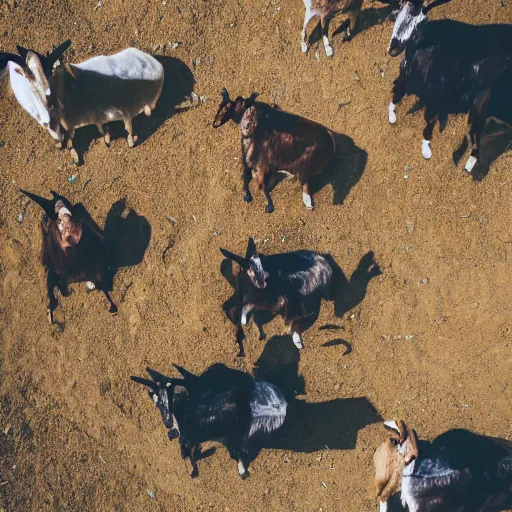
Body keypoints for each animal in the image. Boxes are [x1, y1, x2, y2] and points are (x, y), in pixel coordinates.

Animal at [388, 0, 512, 174]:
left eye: (421, 22)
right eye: (396, 14)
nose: (394, 48)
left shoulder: (437, 95)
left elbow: (429, 121)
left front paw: (426, 151)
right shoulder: (406, 79)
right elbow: (396, 96)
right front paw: (392, 117)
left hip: (483, 100)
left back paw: (469, 164)